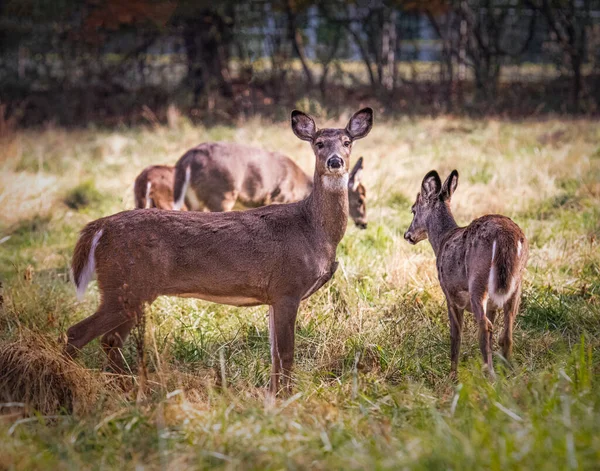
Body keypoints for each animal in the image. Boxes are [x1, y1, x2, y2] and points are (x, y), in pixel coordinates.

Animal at [172, 141, 370, 230]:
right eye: (360, 199)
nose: (364, 223)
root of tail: (186, 160)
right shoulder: (279, 198)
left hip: (193, 200)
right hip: (222, 195)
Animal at [404, 170, 528, 380]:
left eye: (413, 210)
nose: (407, 235)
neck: (442, 240)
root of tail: (505, 235)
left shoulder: (449, 294)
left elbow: (455, 336)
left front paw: (452, 375)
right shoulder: (492, 304)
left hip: (477, 280)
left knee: (485, 326)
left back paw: (490, 374)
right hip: (515, 284)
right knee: (506, 331)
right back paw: (508, 372)